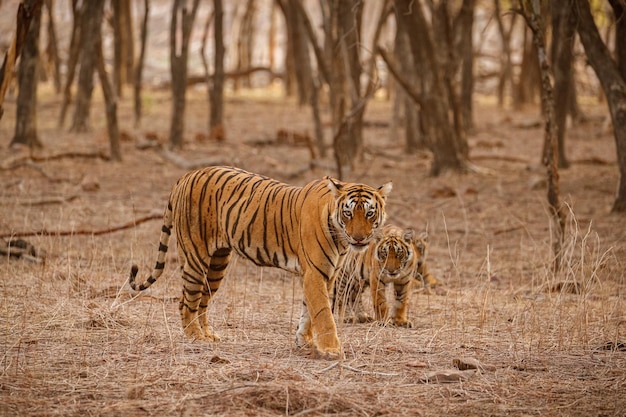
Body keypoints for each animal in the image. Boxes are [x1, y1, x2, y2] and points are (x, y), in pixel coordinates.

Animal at [128, 165, 390, 358]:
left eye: (369, 213)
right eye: (348, 213)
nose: (359, 238)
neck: (339, 235)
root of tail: (186, 175)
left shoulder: (325, 274)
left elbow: (308, 311)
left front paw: (304, 342)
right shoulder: (316, 273)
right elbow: (324, 313)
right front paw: (332, 349)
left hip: (217, 264)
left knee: (202, 301)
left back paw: (209, 335)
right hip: (196, 257)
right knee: (186, 301)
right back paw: (195, 336)